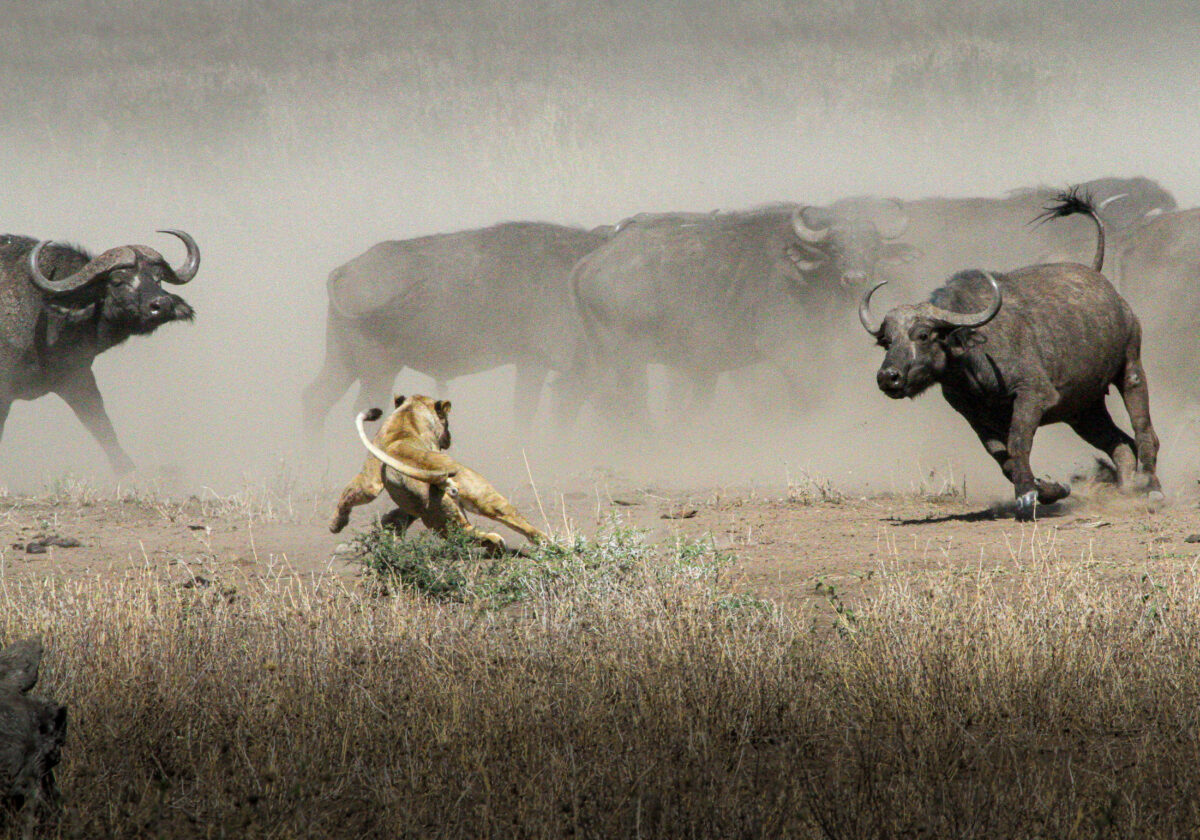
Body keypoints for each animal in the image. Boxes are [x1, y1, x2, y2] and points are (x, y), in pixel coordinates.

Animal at [329, 394, 549, 553]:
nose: (449, 438)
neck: (408, 412)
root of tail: (434, 472)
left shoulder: (377, 483)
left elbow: (355, 497)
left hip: (438, 514)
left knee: (465, 533)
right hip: (477, 498)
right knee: (505, 522)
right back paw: (541, 542)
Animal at [861, 191, 1161, 521]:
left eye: (924, 335)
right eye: (886, 341)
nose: (888, 377)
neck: (971, 358)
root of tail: (1100, 279)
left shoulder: (1033, 395)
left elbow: (1018, 444)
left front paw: (1027, 497)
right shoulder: (973, 415)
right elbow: (1002, 458)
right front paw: (1051, 489)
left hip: (1131, 367)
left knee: (1144, 431)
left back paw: (1151, 488)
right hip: (1083, 409)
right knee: (1120, 444)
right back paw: (1127, 489)